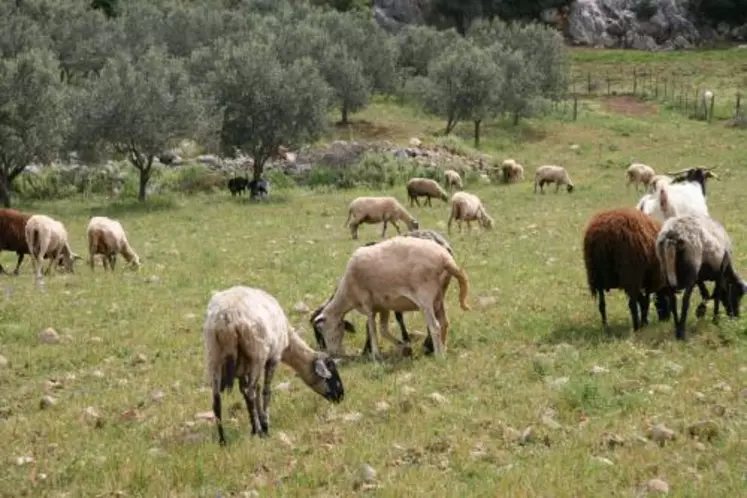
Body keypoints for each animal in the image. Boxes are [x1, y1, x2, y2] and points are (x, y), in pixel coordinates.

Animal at [203, 286, 346, 446]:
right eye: (331, 374)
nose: (341, 396)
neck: (289, 342)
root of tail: (226, 317)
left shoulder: (244, 366)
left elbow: (255, 388)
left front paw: (257, 420)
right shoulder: (273, 357)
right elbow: (265, 391)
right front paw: (264, 424)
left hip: (214, 355)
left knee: (217, 399)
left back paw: (222, 440)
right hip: (256, 353)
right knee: (249, 392)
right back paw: (258, 430)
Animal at [312, 235, 470, 360]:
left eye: (321, 330)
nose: (333, 354)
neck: (347, 294)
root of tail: (445, 259)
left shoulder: (366, 302)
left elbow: (372, 328)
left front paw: (376, 355)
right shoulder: (383, 306)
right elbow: (383, 329)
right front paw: (404, 347)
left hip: (425, 296)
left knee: (435, 325)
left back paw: (439, 355)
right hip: (439, 296)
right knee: (444, 323)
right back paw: (443, 349)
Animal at [656, 212, 744, 340]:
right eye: (739, 294)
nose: (737, 316)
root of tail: (672, 235)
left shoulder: (699, 277)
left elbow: (706, 293)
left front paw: (701, 311)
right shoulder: (721, 272)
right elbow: (718, 295)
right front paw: (715, 319)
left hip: (665, 269)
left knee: (673, 299)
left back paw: (677, 328)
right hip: (692, 266)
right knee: (685, 300)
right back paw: (682, 333)